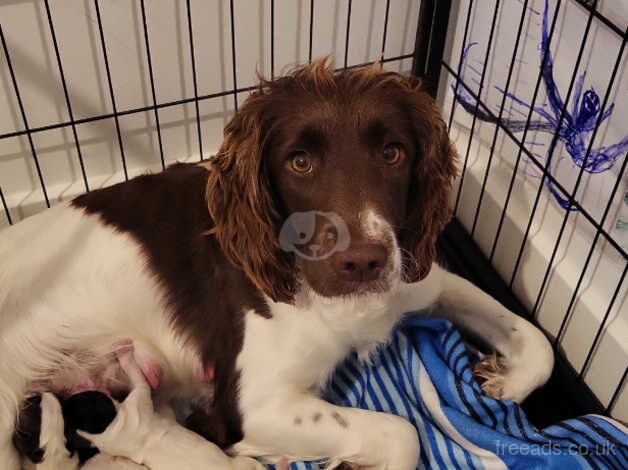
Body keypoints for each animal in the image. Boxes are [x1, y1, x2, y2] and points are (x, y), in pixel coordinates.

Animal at [0, 60, 552, 468]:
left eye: (393, 153)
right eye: (299, 161)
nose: (362, 262)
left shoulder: (416, 278)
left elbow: (535, 340)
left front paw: (504, 379)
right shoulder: (255, 402)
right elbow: (402, 433)